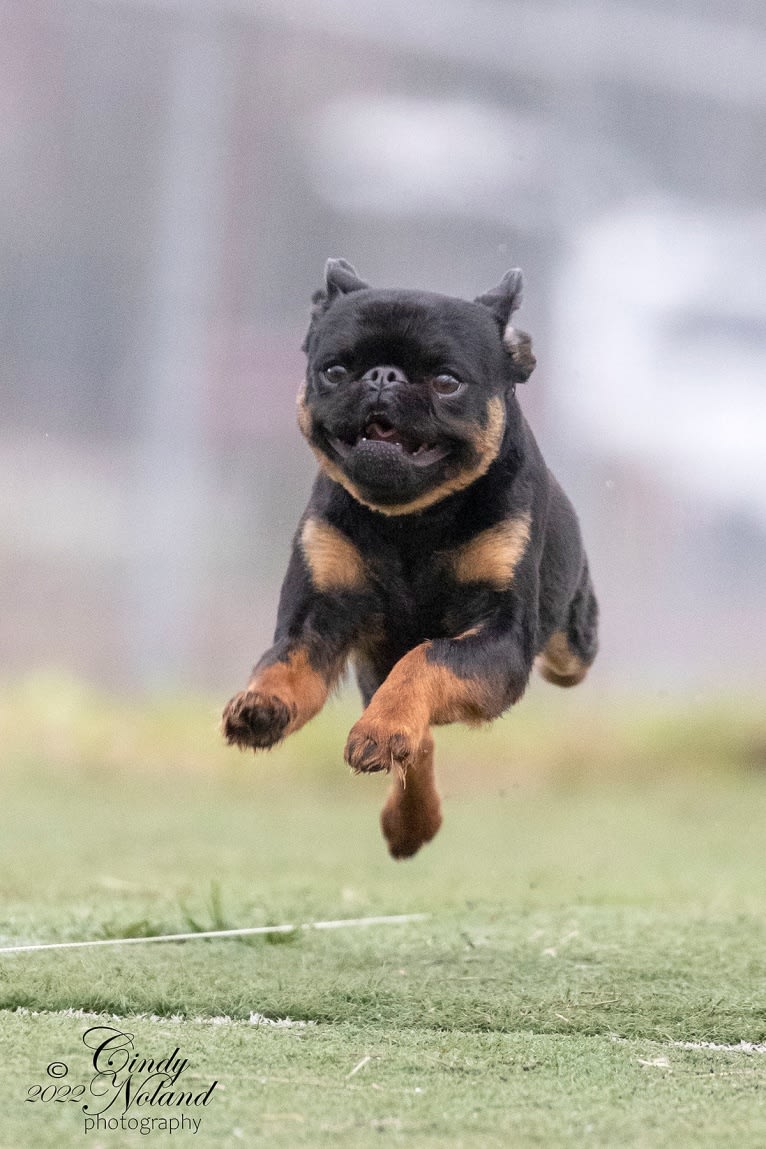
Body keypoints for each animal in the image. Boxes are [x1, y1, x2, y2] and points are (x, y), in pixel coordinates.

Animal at [221, 258, 597, 854]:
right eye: (334, 371)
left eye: (447, 383)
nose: (382, 376)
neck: (412, 522)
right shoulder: (318, 617)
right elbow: (285, 662)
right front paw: (264, 705)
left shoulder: (501, 638)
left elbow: (427, 658)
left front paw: (380, 729)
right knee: (418, 743)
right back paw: (410, 822)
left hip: (572, 647)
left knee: (558, 657)